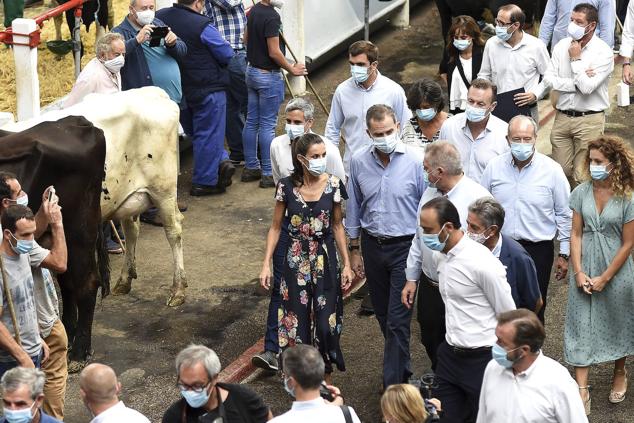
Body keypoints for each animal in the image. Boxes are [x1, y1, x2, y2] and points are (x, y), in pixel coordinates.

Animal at [3, 88, 185, 308]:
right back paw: (125, 280)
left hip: (163, 189)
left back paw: (178, 289)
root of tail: (152, 91)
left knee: (174, 230)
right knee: (132, 229)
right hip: (127, 194)